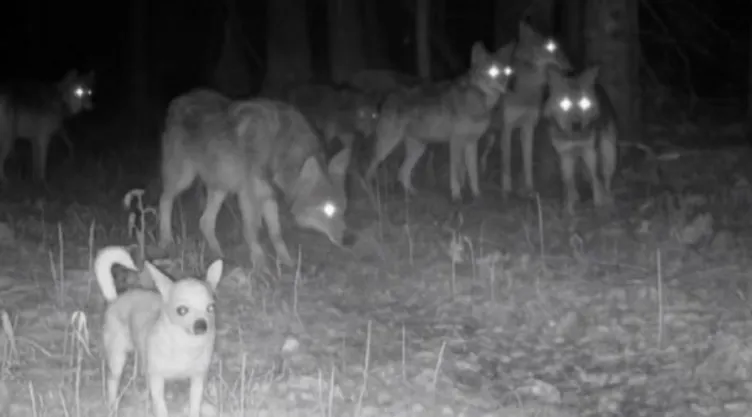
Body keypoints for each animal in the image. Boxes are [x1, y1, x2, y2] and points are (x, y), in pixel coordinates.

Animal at [158, 89, 352, 269]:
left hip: (220, 187)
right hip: (185, 179)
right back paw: (166, 241)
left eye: (343, 208)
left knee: (205, 221)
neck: (278, 149)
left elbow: (276, 234)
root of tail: (179, 99)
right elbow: (253, 231)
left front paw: (287, 262)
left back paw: (219, 255)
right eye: (327, 209)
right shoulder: (248, 196)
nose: (348, 240)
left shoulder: (269, 197)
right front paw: (260, 265)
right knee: (164, 201)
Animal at [364, 42, 515, 201]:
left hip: (419, 148)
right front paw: (456, 197)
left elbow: (473, 174)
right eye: (492, 71)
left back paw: (413, 195)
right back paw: (370, 195)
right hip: (386, 147)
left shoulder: (471, 143)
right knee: (369, 171)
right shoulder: (455, 142)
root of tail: (389, 97)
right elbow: (456, 174)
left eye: (506, 71)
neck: (478, 100)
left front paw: (477, 195)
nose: (506, 85)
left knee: (402, 172)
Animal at [480, 22, 572, 197]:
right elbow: (507, 162)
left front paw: (529, 189)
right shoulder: (507, 128)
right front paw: (506, 191)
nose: (571, 66)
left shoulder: (528, 127)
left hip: (491, 136)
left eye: (562, 49)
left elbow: (527, 163)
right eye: (551, 48)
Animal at [543, 66, 618, 212]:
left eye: (584, 103)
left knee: (605, 177)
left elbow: (595, 177)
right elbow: (569, 181)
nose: (576, 125)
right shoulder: (565, 155)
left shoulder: (590, 151)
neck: (573, 137)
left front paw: (599, 204)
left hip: (608, 152)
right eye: (565, 103)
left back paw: (609, 199)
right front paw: (569, 209)